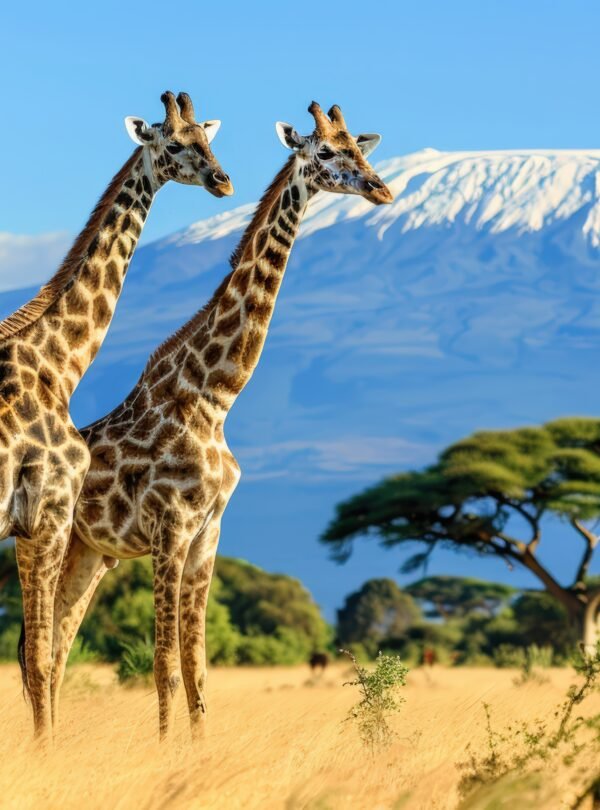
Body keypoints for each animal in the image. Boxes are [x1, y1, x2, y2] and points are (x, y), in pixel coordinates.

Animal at [4, 90, 233, 739]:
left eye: (209, 140)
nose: (223, 181)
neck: (57, 361)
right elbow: (39, 658)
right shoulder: (46, 511)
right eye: (173, 142)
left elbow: (43, 655)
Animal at [48, 101, 393, 740]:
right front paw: (166, 755)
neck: (213, 398)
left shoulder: (208, 533)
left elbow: (198, 668)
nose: (381, 190)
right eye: (324, 152)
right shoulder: (169, 530)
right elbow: (163, 664)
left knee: (54, 649)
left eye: (362, 150)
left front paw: (197, 751)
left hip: (92, 553)